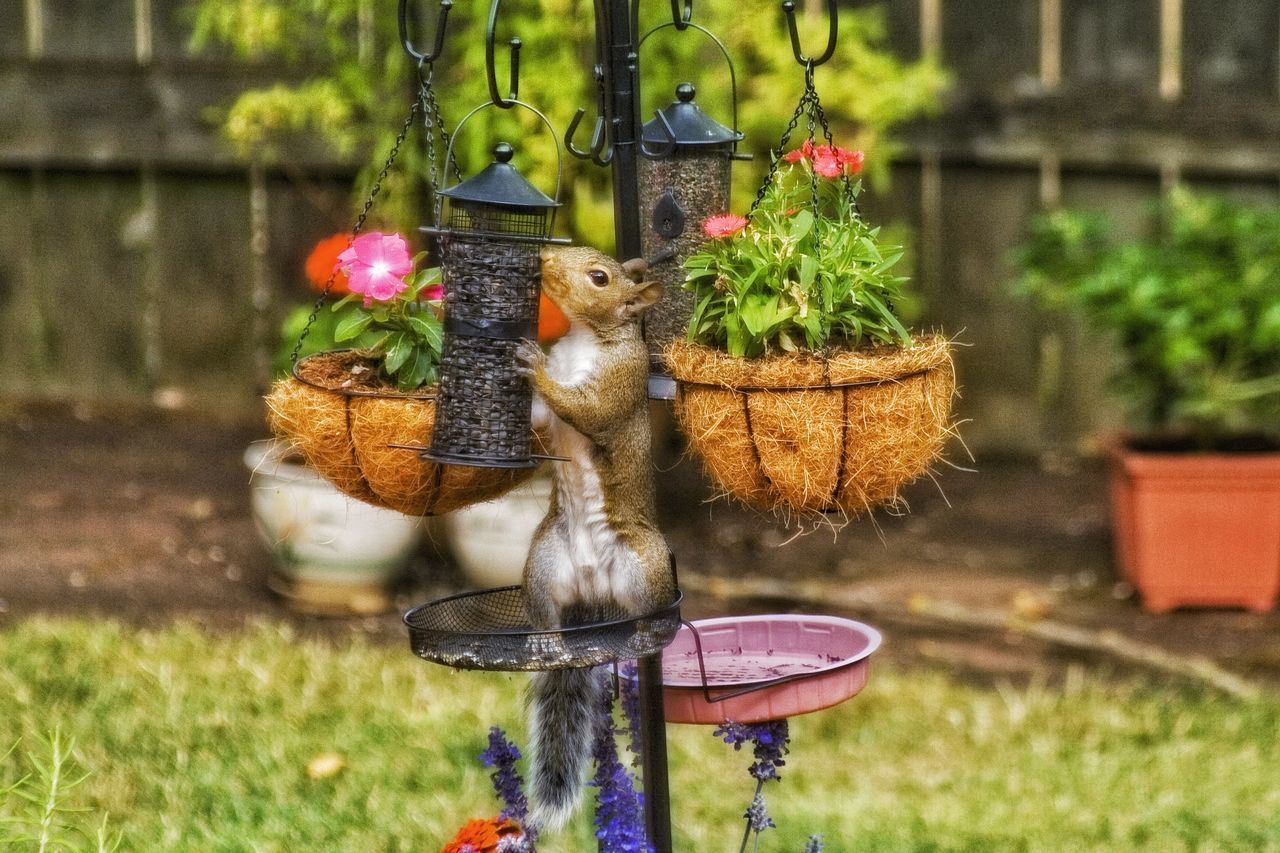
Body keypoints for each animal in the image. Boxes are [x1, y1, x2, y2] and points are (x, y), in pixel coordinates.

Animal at [512, 242, 680, 824]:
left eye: (600, 278)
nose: (542, 258)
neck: (586, 336)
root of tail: (592, 591)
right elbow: (543, 420)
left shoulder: (621, 379)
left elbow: (589, 409)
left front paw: (535, 366)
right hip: (543, 562)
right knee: (546, 613)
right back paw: (545, 640)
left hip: (643, 566)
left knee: (647, 614)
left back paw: (643, 633)